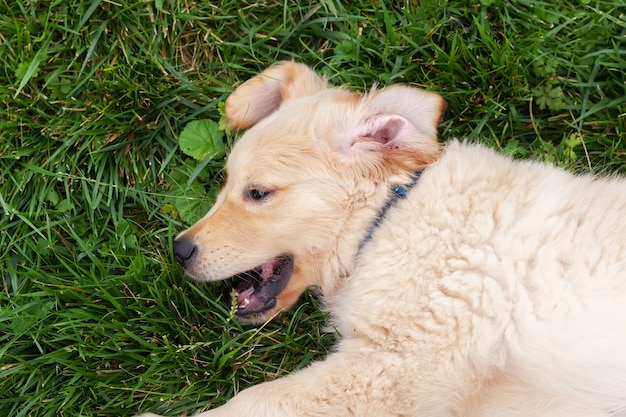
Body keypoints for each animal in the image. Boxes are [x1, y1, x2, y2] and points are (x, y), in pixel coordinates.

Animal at [139, 61, 624, 416]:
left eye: (257, 193)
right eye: (225, 183)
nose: (179, 251)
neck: (386, 218)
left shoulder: (389, 368)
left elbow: (258, 399)